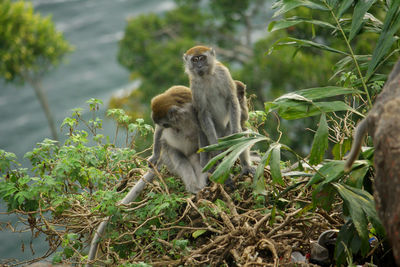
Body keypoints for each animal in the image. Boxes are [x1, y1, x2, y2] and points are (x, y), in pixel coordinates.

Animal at [184, 46, 255, 176]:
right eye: (194, 60)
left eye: (202, 58)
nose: (199, 66)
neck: (206, 76)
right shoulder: (195, 86)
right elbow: (203, 112)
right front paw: (214, 143)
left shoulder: (223, 72)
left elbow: (231, 99)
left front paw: (236, 131)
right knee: (202, 131)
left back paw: (246, 166)